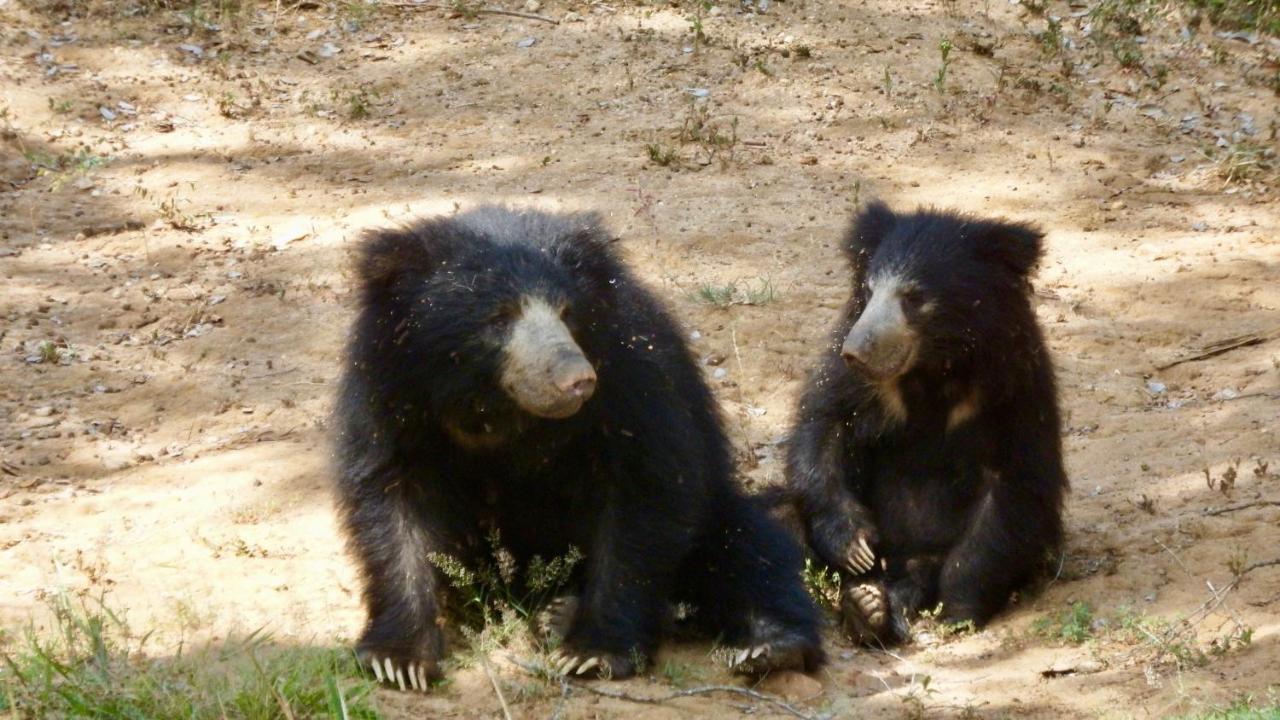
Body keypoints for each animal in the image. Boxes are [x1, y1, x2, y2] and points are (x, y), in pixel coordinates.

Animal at [335, 204, 824, 686]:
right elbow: (395, 504)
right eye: (499, 317)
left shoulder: (631, 378)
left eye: (567, 312)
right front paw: (398, 660)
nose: (577, 380)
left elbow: (641, 494)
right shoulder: (392, 392)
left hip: (720, 512)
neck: (496, 406)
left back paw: (770, 646)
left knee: (749, 553)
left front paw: (593, 653)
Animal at [783, 202, 1064, 645]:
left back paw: (875, 605)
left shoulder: (1015, 385)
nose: (855, 352)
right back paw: (863, 603)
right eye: (869, 291)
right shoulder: (850, 378)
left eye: (913, 297)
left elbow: (1014, 485)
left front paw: (959, 611)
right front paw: (855, 548)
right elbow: (824, 425)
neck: (932, 368)